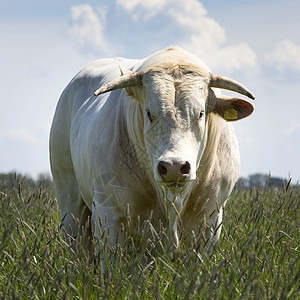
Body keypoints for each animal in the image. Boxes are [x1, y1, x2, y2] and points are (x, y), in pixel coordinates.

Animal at [49, 46, 253, 248]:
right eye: (149, 113)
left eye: (201, 113)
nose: (174, 167)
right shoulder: (108, 214)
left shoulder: (211, 219)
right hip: (69, 198)